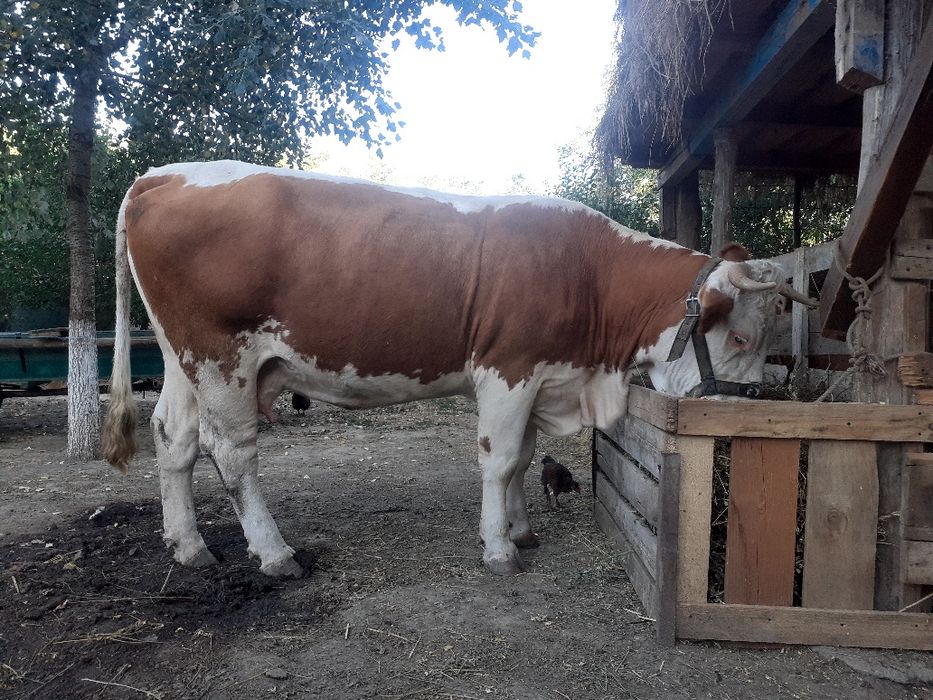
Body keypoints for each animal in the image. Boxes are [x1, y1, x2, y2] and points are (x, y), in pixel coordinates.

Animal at [101, 160, 815, 578]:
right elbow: (499, 461)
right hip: (221, 358)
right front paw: (498, 549)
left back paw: (188, 545)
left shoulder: (543, 376)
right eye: (741, 334)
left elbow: (523, 458)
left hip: (182, 359)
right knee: (233, 451)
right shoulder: (507, 369)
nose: (747, 409)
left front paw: (522, 531)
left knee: (173, 438)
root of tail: (163, 175)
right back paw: (274, 553)